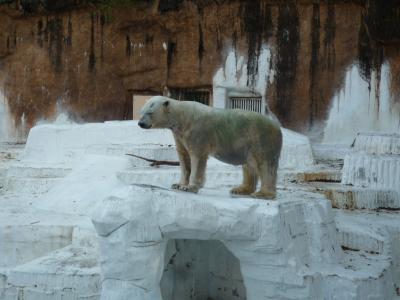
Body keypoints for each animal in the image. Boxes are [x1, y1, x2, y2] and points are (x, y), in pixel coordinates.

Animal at [139, 96, 282, 199]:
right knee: (249, 166)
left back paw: (263, 194)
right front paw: (178, 184)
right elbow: (183, 156)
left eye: (150, 112)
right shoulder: (179, 135)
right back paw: (240, 189)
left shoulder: (197, 132)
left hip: (260, 139)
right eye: (141, 111)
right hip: (248, 145)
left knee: (264, 164)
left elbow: (197, 157)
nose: (140, 123)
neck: (182, 117)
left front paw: (190, 187)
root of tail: (277, 127)